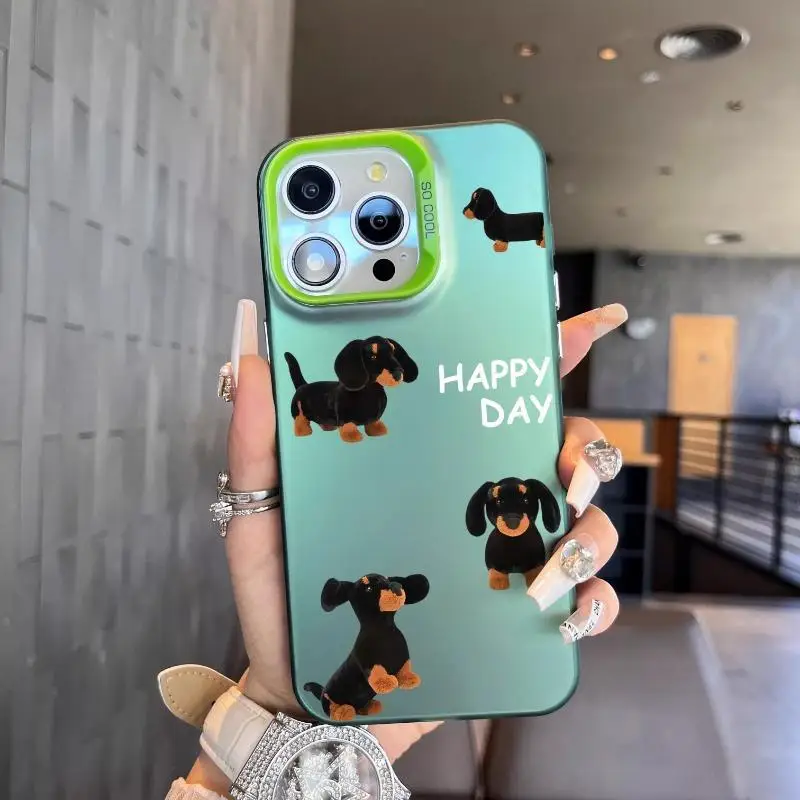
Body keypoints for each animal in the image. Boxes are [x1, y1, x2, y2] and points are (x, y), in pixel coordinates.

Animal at [284, 336, 418, 443]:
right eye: (373, 356)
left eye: (393, 352)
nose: (398, 374)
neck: (371, 391)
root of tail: (302, 385)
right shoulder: (344, 417)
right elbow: (348, 425)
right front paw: (352, 435)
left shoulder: (373, 417)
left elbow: (373, 422)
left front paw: (377, 429)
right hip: (298, 410)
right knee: (299, 420)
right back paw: (303, 431)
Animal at [304, 573, 430, 722]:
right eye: (368, 588)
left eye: (387, 579)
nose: (397, 586)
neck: (384, 628)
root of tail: (322, 692)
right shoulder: (368, 662)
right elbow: (376, 672)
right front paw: (386, 682)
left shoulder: (404, 658)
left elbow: (405, 668)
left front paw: (410, 679)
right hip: (330, 698)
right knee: (332, 708)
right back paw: (344, 712)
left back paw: (370, 707)